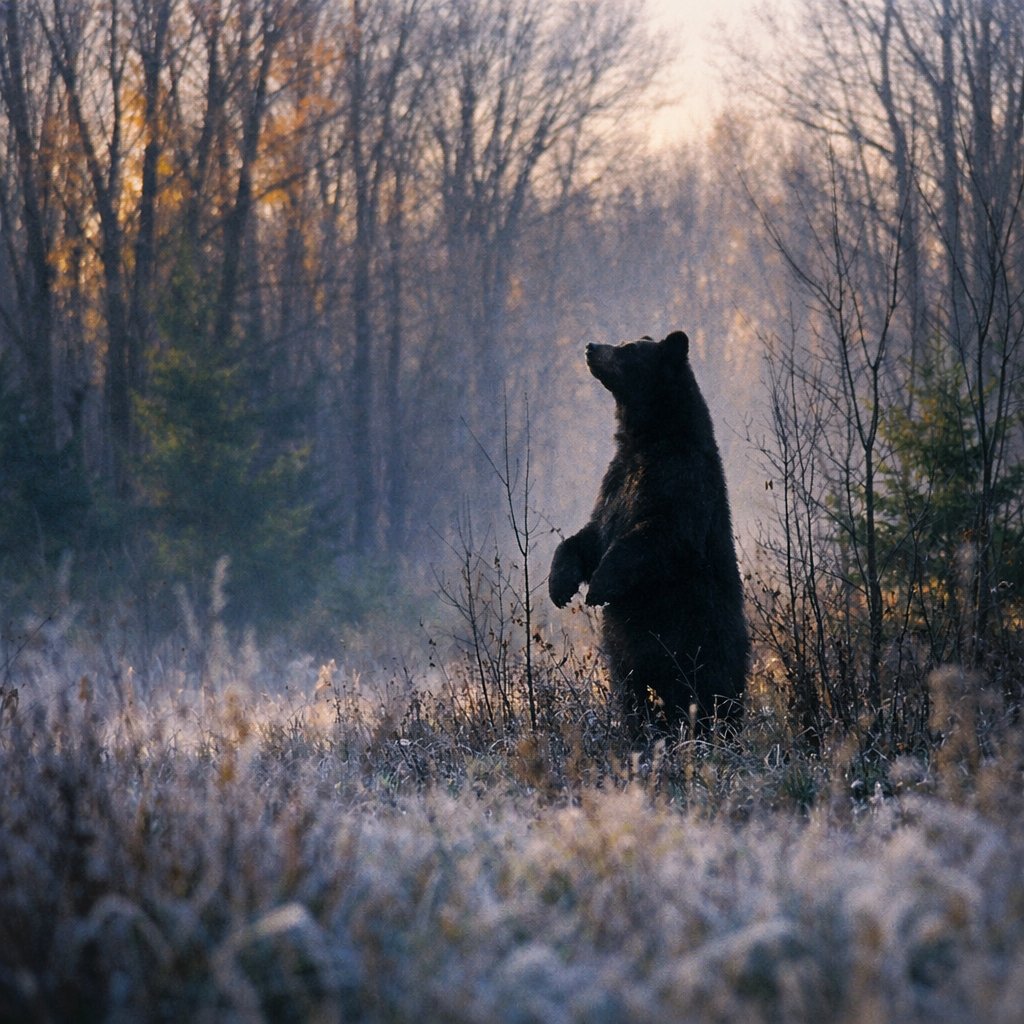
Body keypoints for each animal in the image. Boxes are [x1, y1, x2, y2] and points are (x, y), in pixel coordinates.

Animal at [549, 330, 748, 739]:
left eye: (627, 349)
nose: (592, 347)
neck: (646, 439)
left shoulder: (679, 483)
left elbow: (655, 537)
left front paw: (599, 587)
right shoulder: (615, 484)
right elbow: (588, 536)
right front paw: (560, 586)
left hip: (702, 648)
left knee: (711, 699)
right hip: (628, 666)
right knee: (633, 698)